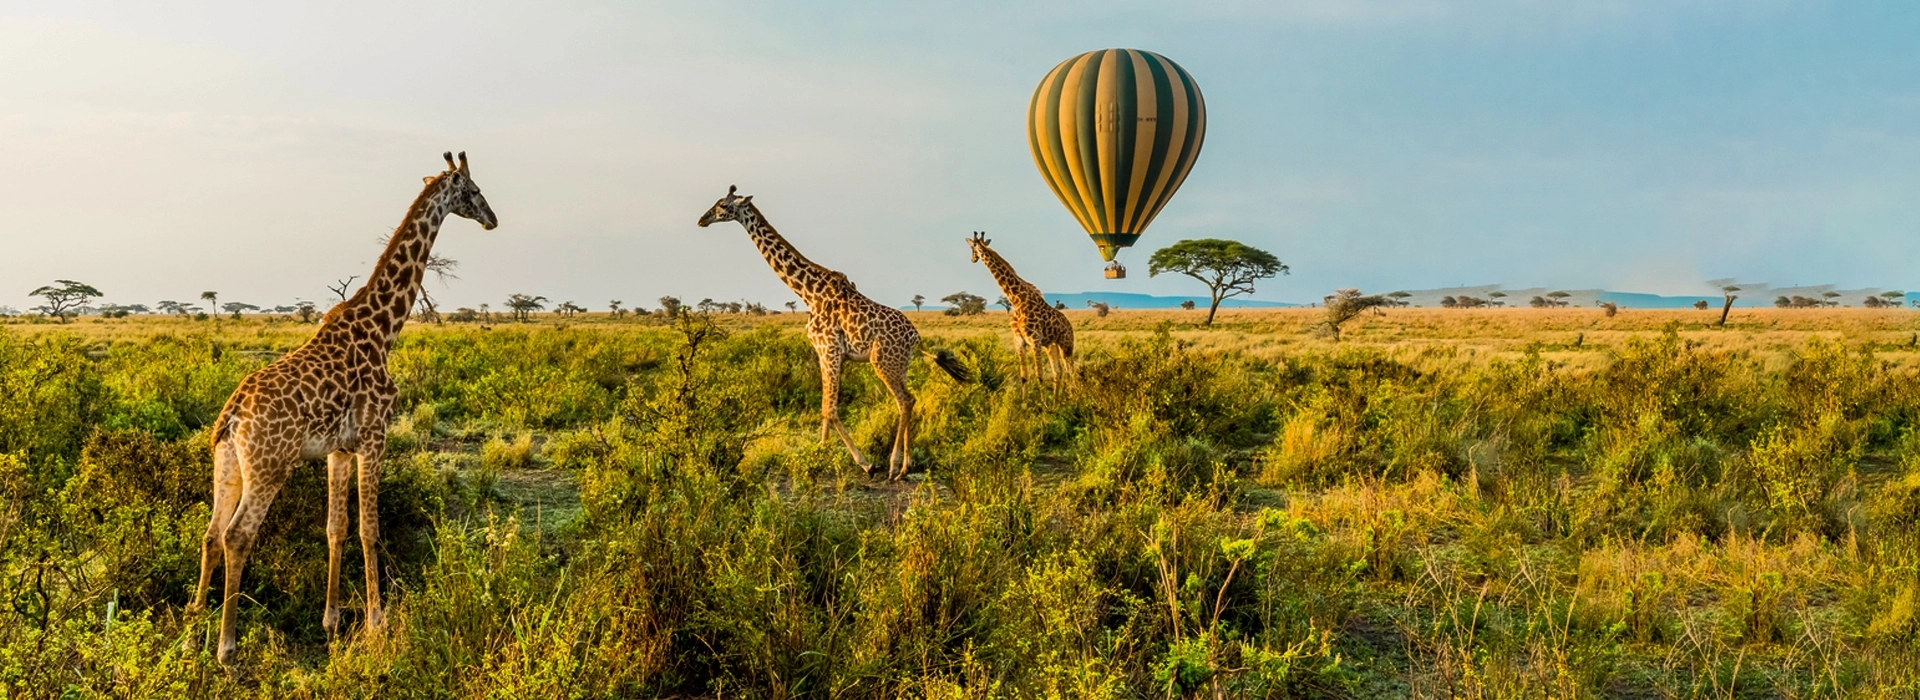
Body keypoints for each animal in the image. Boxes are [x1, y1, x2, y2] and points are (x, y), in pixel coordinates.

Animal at [189, 151, 495, 659]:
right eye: (472, 191)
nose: (493, 218)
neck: (384, 329)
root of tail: (232, 416)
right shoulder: (375, 436)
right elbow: (371, 530)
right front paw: (377, 623)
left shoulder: (339, 449)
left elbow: (337, 528)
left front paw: (331, 621)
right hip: (270, 466)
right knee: (237, 536)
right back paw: (226, 648)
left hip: (227, 463)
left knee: (212, 534)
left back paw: (194, 623)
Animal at [695, 184, 975, 479]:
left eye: (723, 206)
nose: (702, 219)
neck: (808, 293)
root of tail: (916, 338)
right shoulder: (825, 353)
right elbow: (824, 408)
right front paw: (820, 453)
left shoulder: (828, 349)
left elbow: (830, 409)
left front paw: (864, 463)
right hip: (901, 364)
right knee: (910, 400)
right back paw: (904, 466)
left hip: (882, 361)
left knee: (905, 401)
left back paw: (894, 466)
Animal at [960, 233, 1082, 387]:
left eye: (972, 248)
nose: (972, 259)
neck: (1017, 301)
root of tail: (1070, 326)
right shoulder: (1019, 341)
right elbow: (1024, 377)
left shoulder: (1035, 340)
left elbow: (1039, 376)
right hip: (1051, 345)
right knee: (1058, 372)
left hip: (1066, 345)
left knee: (1070, 371)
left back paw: (1074, 392)